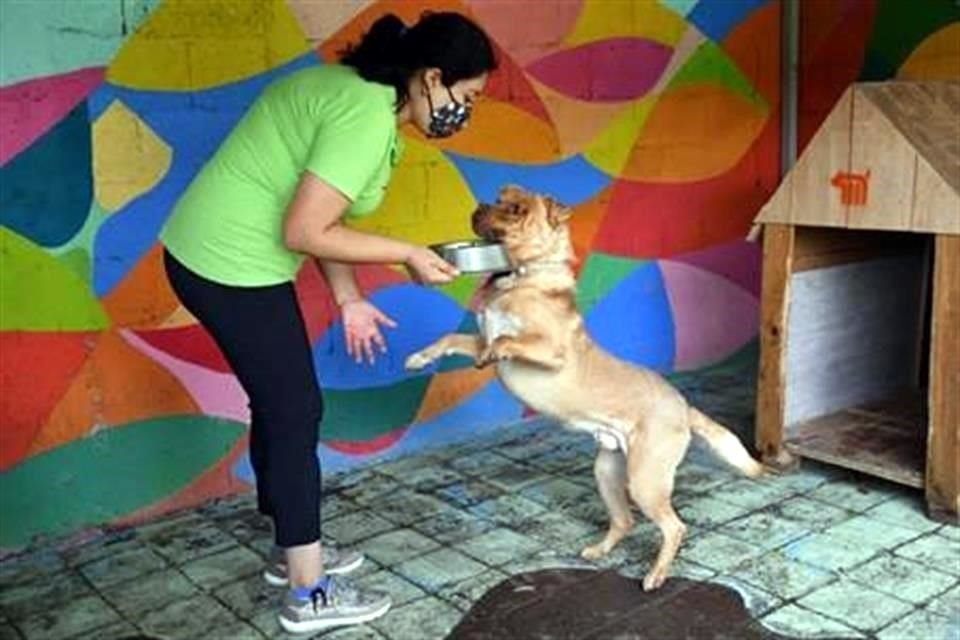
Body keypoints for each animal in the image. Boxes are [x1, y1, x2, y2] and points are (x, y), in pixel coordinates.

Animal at [404, 185, 764, 592]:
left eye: (516, 209)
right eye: (499, 197)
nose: (479, 206)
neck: (521, 278)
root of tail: (683, 406)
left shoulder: (550, 352)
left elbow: (508, 341)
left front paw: (495, 349)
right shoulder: (478, 340)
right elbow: (451, 338)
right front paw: (418, 358)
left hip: (645, 480)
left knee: (674, 527)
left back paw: (655, 574)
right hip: (607, 471)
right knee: (625, 520)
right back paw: (599, 551)